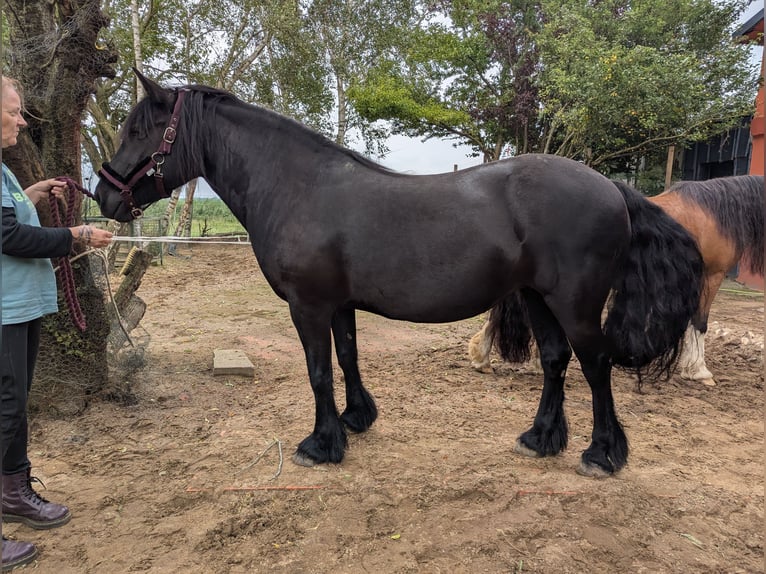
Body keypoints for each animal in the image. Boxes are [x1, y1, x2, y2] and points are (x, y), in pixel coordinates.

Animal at [94, 71, 704, 477]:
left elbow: (318, 371)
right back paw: (540, 438)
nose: (103, 195)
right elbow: (346, 358)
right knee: (555, 361)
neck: (297, 186)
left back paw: (602, 454)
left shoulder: (308, 306)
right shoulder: (338, 304)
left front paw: (320, 445)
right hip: (537, 297)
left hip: (575, 304)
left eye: (139, 131)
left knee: (596, 367)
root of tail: (614, 189)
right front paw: (356, 420)